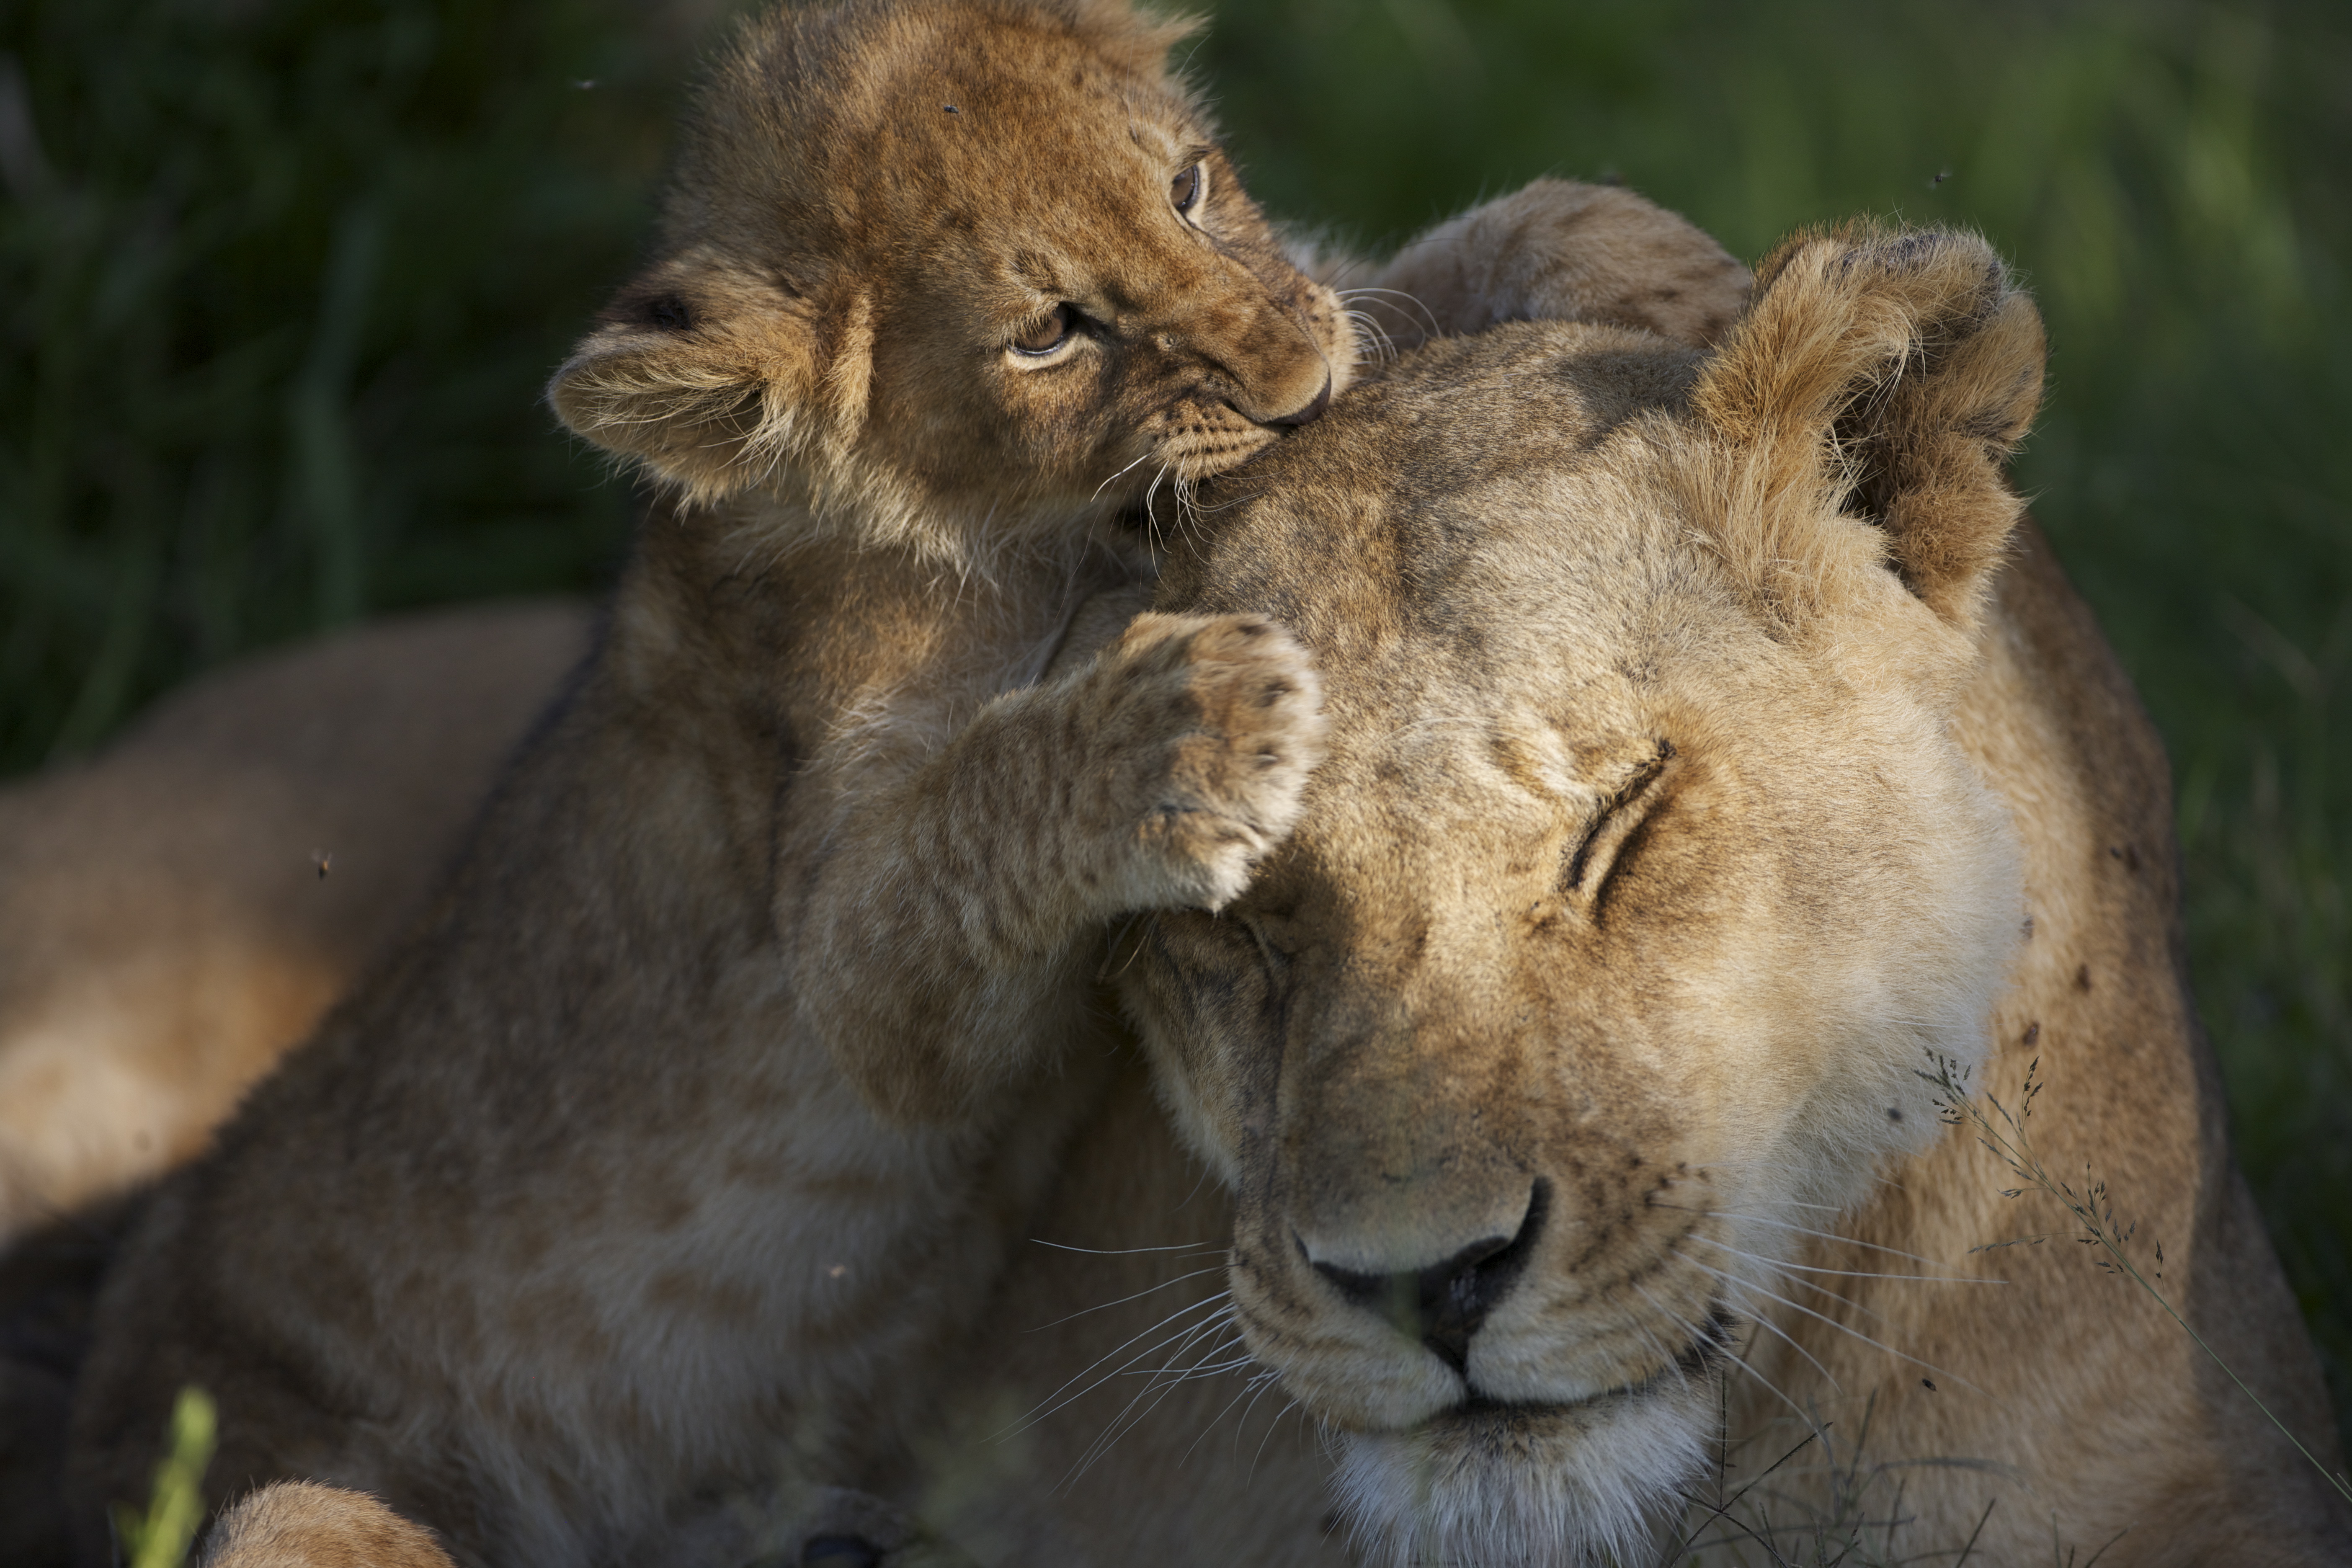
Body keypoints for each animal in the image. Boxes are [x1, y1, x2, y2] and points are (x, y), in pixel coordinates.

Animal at [56, 0, 1757, 1559]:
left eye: (1189, 186)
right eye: (1051, 329)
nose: (1292, 386)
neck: (1049, 532)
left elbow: (1483, 227)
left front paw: (1694, 282)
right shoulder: (847, 949)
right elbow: (966, 827)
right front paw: (1194, 713)